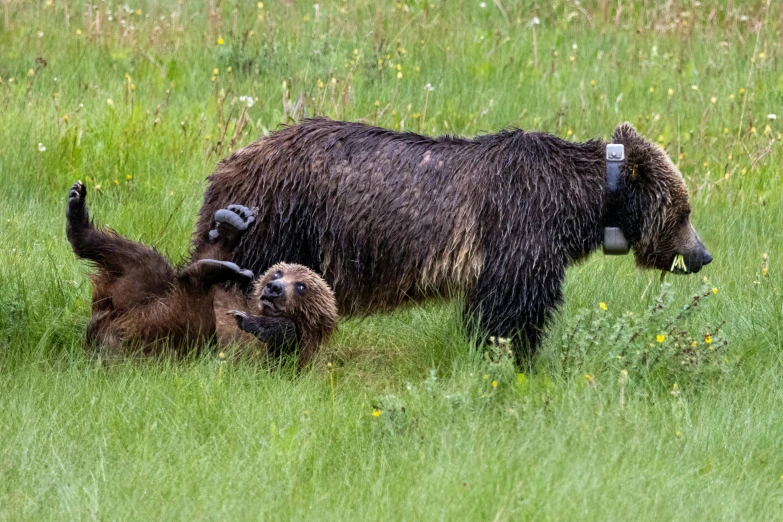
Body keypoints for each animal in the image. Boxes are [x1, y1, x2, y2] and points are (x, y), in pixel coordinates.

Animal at [193, 118, 712, 362]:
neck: (578, 201)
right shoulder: (519, 224)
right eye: (684, 211)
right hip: (284, 213)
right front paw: (510, 355)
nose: (702, 254)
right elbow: (510, 306)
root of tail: (231, 161)